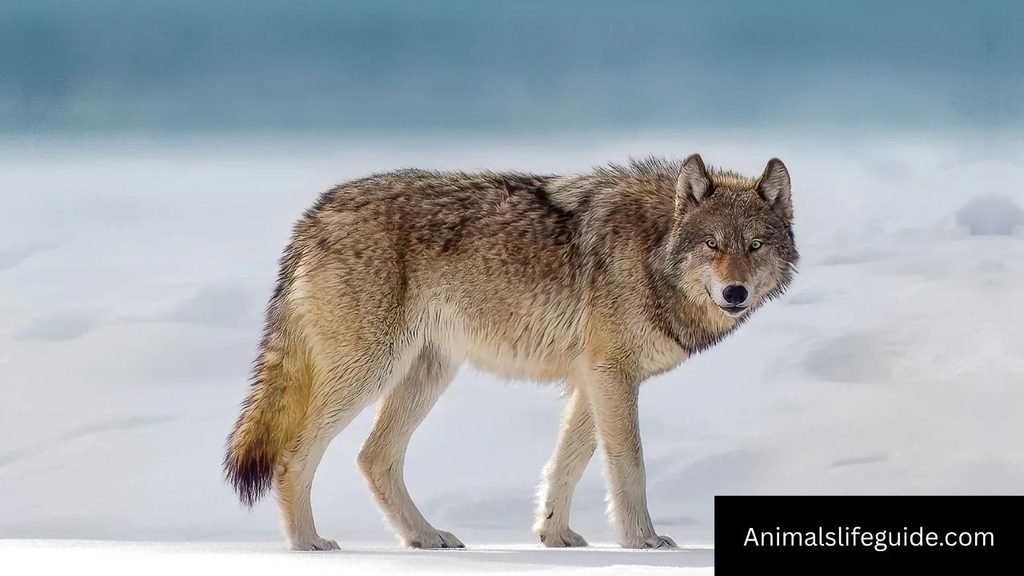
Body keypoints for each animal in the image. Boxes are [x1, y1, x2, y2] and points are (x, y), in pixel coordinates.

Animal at [224, 153, 798, 551]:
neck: (654, 249)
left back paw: (425, 537)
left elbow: (566, 463)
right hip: (371, 371)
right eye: (712, 245)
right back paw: (308, 544)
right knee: (293, 455)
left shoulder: (593, 378)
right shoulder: (612, 375)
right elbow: (628, 464)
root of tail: (314, 215)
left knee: (375, 457)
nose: (735, 293)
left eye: (754, 246)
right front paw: (643, 541)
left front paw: (555, 536)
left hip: (427, 374)